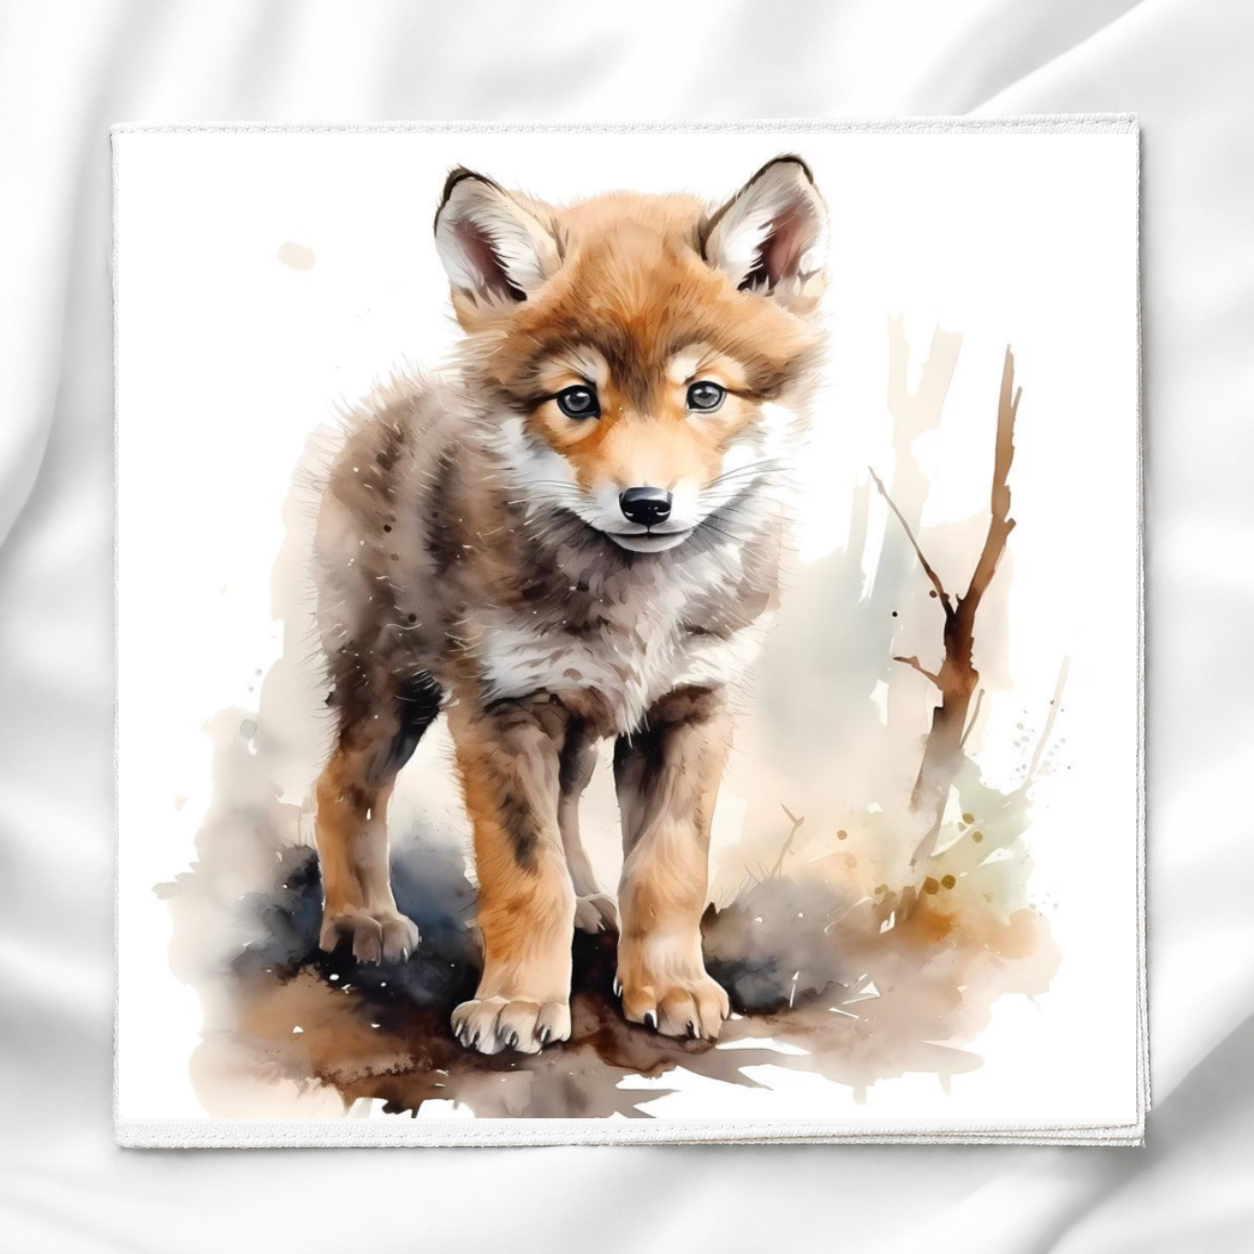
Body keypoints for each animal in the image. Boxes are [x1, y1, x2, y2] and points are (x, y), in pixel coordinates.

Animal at [311, 155, 829, 1054]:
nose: (647, 504)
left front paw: (669, 985)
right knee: (342, 788)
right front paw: (518, 1002)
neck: (640, 606)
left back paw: (591, 903)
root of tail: (391, 405)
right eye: (577, 400)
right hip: (394, 692)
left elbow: (665, 870)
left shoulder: (690, 708)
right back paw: (362, 917)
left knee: (565, 811)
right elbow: (525, 875)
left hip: (577, 725)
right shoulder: (499, 711)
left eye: (704, 394)